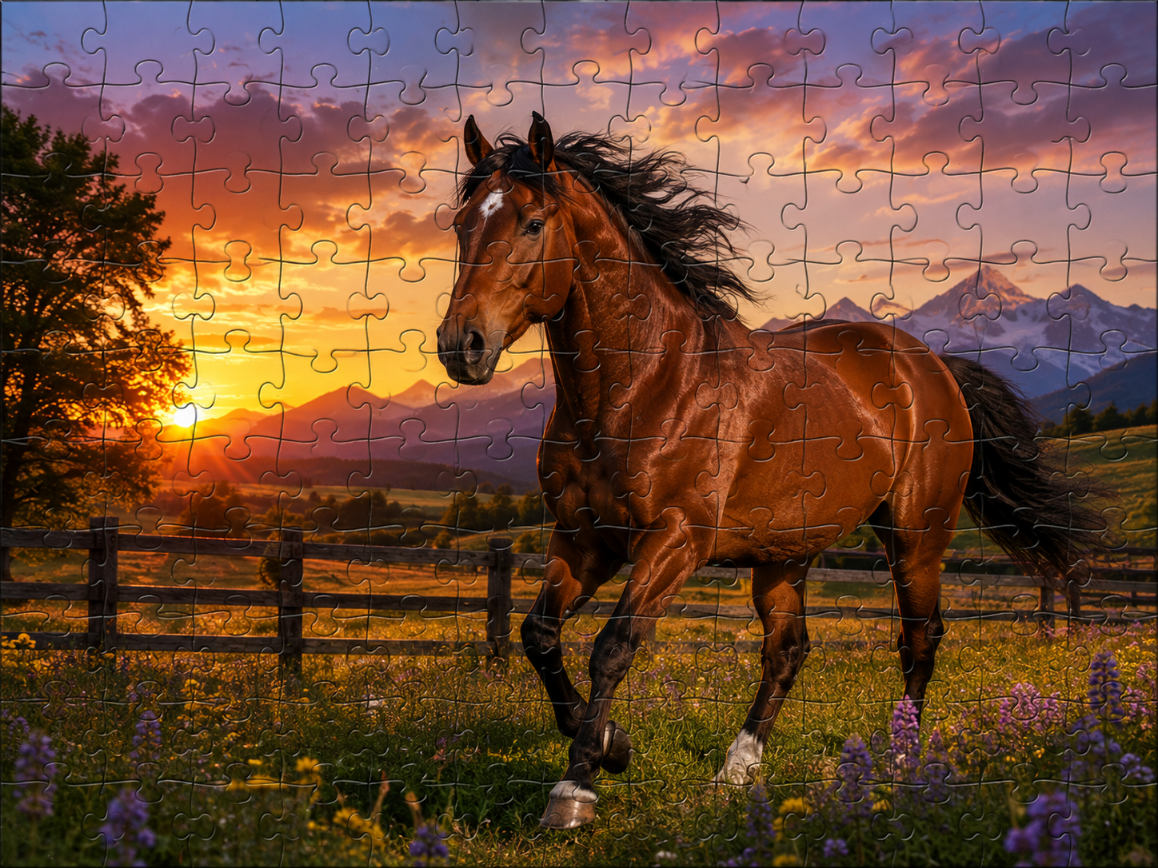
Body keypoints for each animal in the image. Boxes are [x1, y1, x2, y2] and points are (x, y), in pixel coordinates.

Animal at [436, 113, 1113, 830]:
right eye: (461, 225)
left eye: (533, 223)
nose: (462, 345)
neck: (646, 384)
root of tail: (931, 366)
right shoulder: (583, 540)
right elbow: (538, 635)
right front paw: (613, 745)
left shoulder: (675, 541)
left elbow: (614, 646)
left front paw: (579, 784)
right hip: (784, 554)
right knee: (788, 650)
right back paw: (736, 771)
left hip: (915, 540)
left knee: (919, 638)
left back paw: (902, 760)